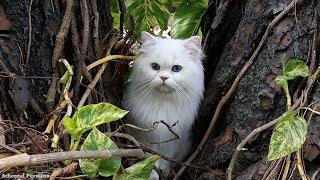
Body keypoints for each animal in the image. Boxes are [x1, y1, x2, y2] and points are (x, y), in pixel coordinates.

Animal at [123, 31, 205, 179]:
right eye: (155, 67)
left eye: (176, 68)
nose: (163, 78)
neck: (163, 102)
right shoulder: (144, 136)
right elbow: (150, 157)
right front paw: (151, 174)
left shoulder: (173, 138)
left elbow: (164, 158)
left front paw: (163, 170)